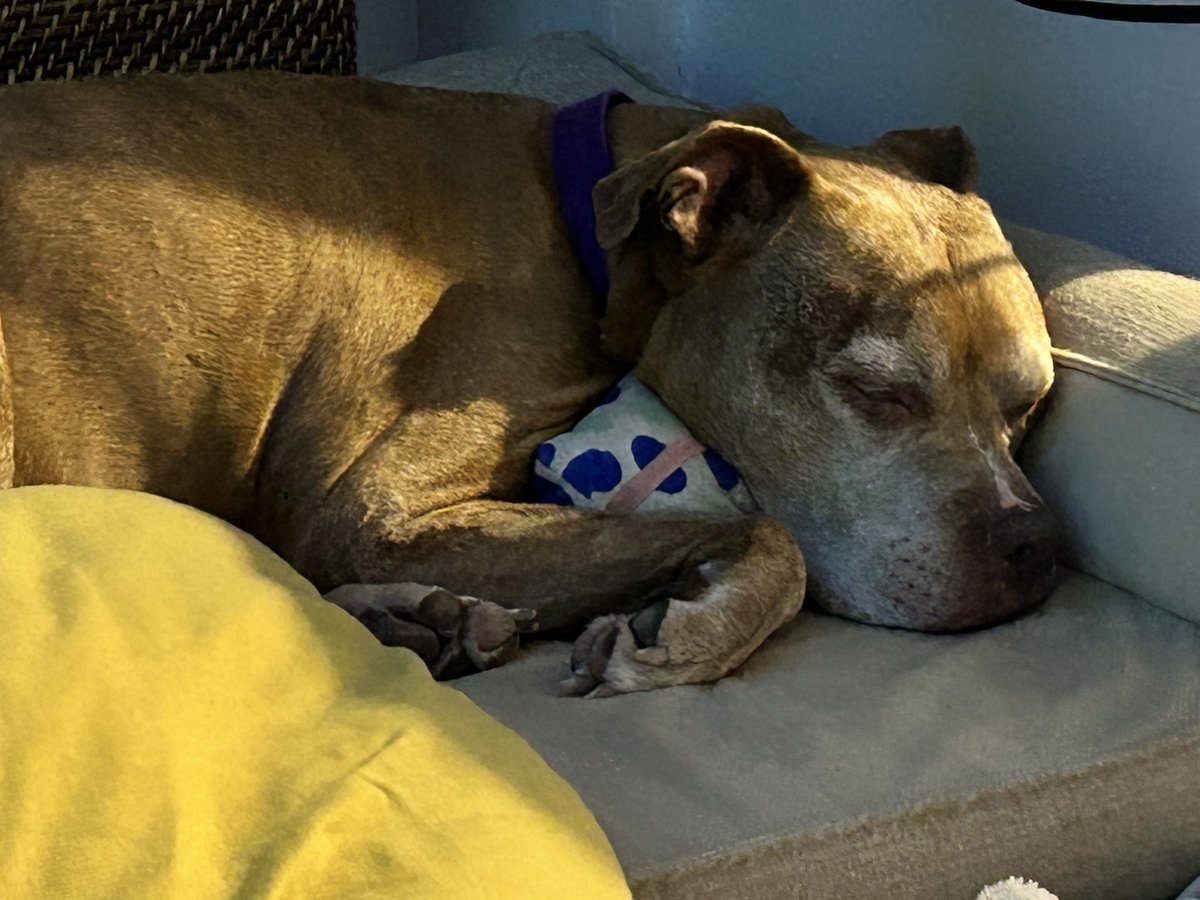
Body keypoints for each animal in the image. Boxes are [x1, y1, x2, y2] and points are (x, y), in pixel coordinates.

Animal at [0, 75, 1056, 696]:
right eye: (878, 394)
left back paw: (425, 621)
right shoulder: (372, 512)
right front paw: (694, 635)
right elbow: (774, 537)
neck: (595, 231)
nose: (1035, 545)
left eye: (1028, 404)